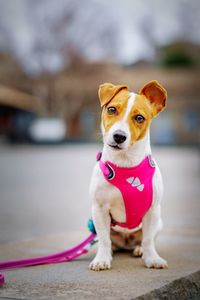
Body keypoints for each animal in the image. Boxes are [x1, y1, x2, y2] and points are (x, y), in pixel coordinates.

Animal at [89, 81, 167, 270]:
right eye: (111, 109)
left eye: (139, 118)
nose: (119, 136)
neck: (125, 163)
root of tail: (126, 241)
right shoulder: (99, 210)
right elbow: (104, 240)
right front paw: (102, 259)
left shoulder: (153, 211)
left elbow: (148, 239)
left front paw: (152, 258)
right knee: (109, 240)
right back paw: (112, 250)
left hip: (159, 222)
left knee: (145, 239)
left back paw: (139, 249)